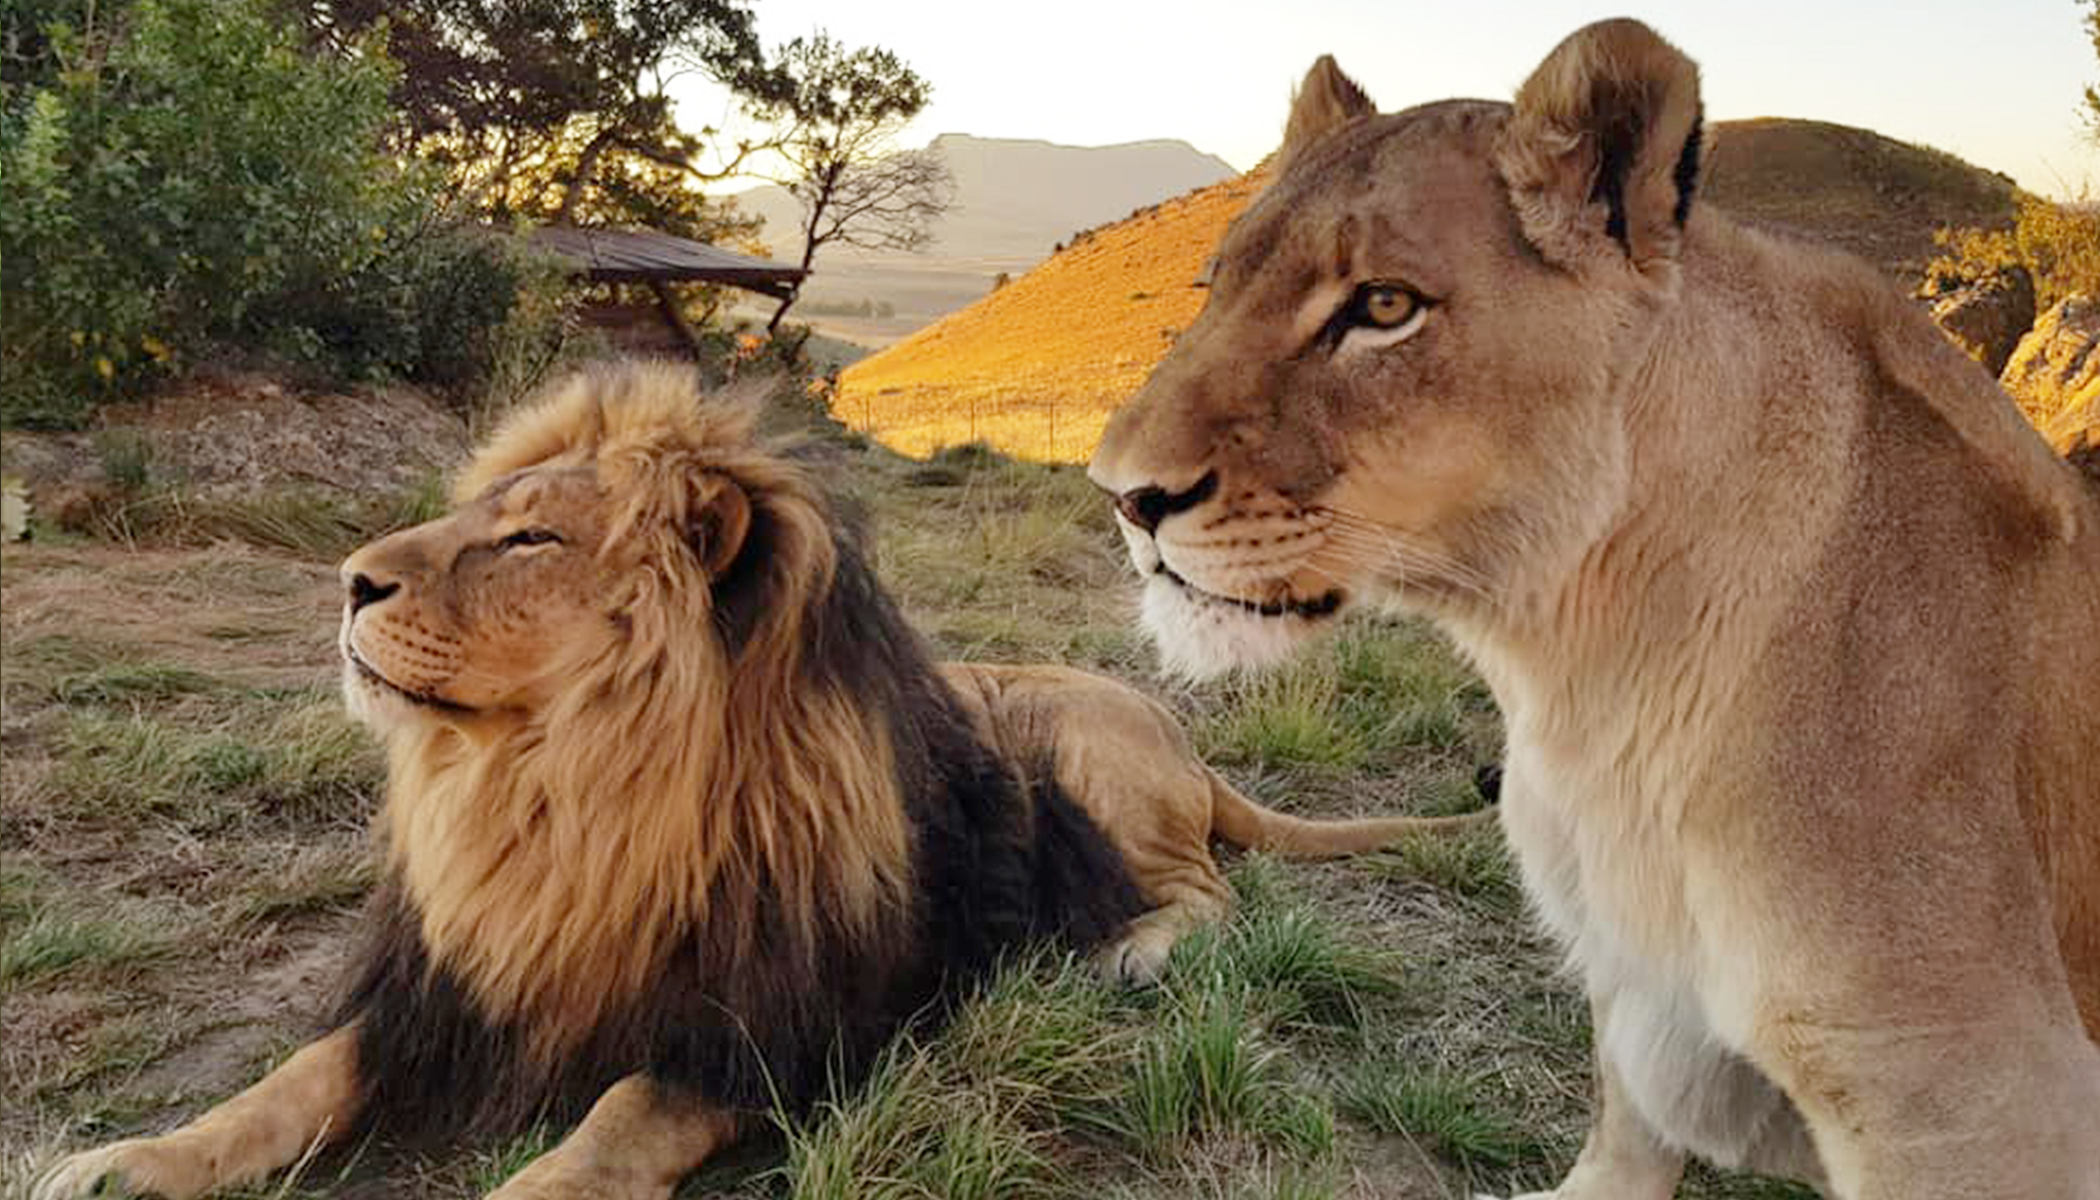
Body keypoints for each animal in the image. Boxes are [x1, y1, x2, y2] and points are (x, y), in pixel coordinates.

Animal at [37, 361, 1478, 1193]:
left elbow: (619, 1119)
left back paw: (1129, 951)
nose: (346, 582)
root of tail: (1188, 743)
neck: (556, 792)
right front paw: (121, 1163)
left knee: (1211, 894)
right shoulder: (445, 993)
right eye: (474, 516)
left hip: (1076, 739)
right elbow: (289, 1080)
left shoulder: (771, 1030)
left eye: (529, 539)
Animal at [1083, 16, 2100, 1200]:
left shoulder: (1974, 1099)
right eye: (1214, 285)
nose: (1123, 493)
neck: (1582, 681)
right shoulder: (1635, 1001)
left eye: (1383, 307)